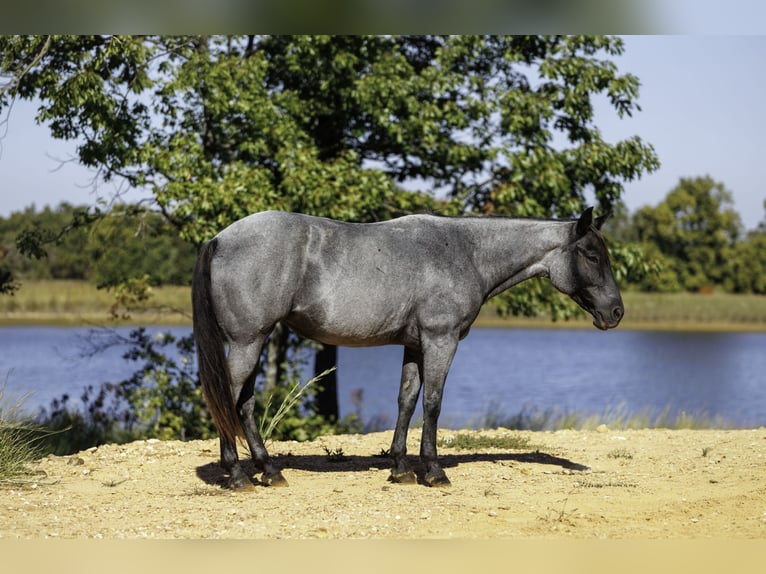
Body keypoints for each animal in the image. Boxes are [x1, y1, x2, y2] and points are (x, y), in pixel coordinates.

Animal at [192, 207, 624, 488]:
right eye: (591, 254)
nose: (616, 312)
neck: (466, 252)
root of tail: (219, 239)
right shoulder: (440, 340)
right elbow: (432, 402)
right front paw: (432, 470)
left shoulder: (415, 345)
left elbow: (406, 400)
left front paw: (400, 467)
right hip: (248, 342)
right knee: (228, 399)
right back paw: (236, 475)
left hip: (255, 341)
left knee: (244, 404)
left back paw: (269, 470)